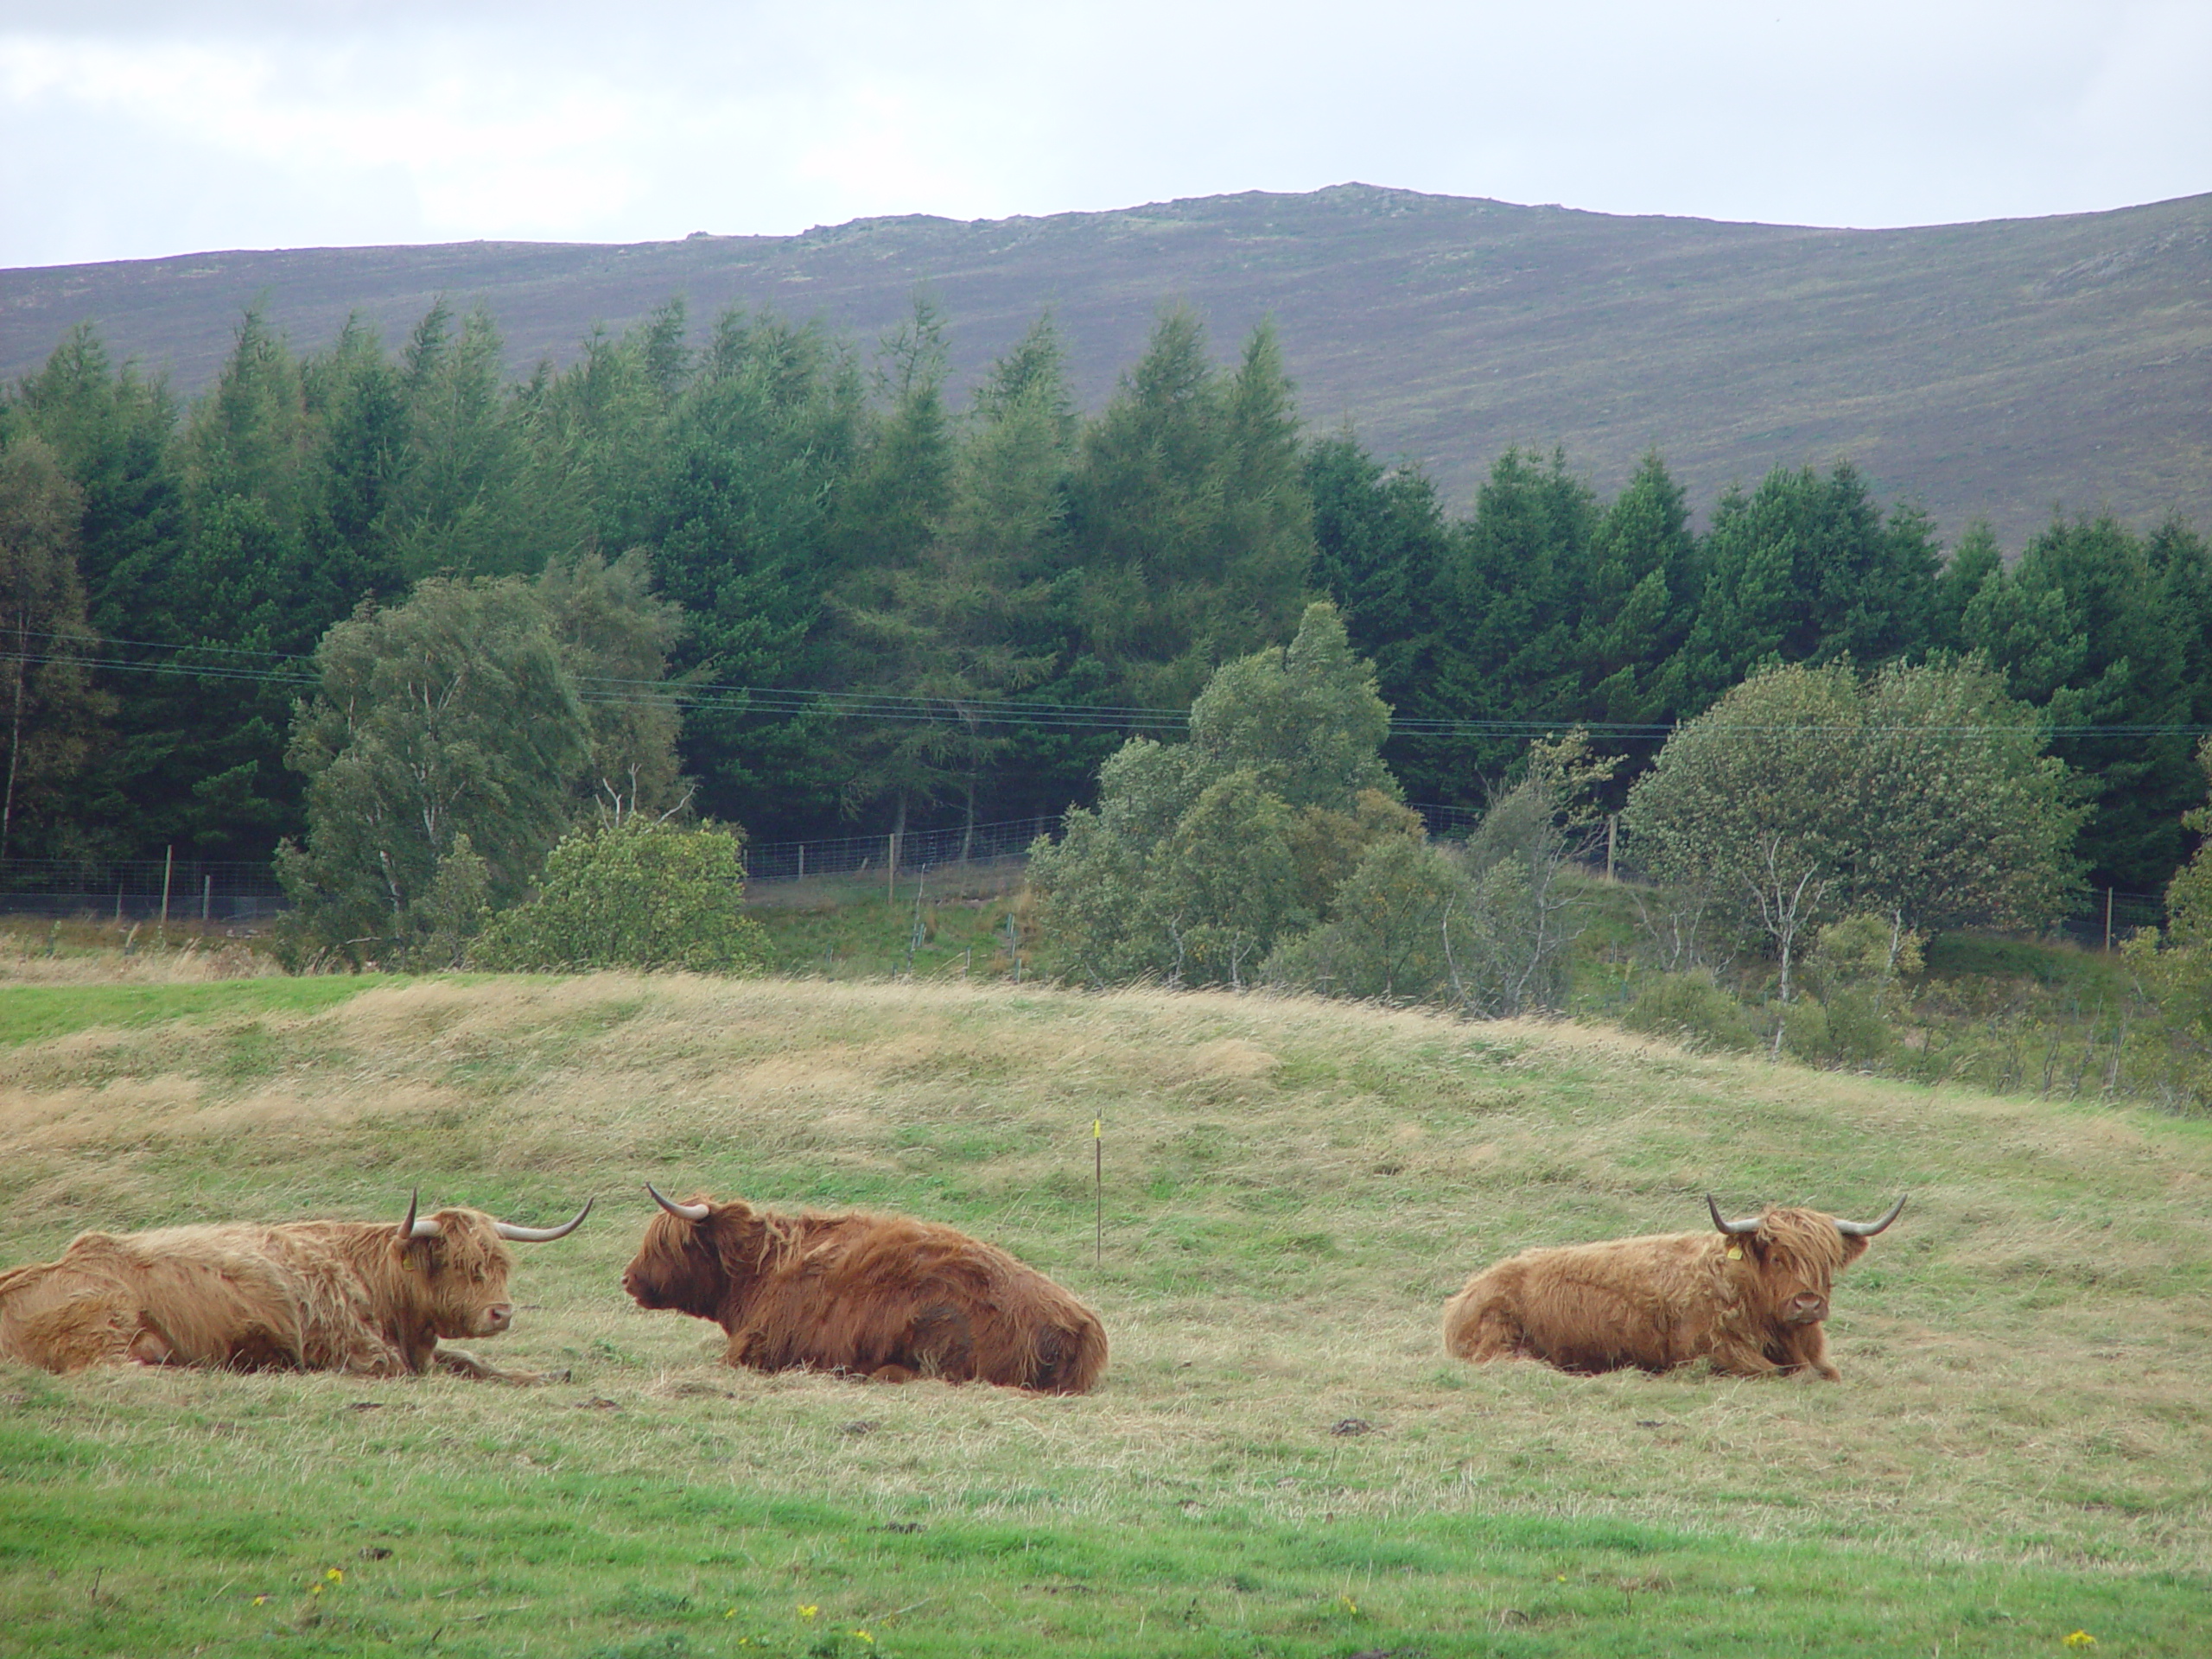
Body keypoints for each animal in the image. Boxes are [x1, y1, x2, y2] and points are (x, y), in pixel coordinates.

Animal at [0, 1194, 593, 1389]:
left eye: (499, 1264)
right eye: (458, 1264)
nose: (501, 1313)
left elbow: (469, 1361)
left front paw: (547, 1374)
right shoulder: (363, 1353)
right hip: (109, 1322)